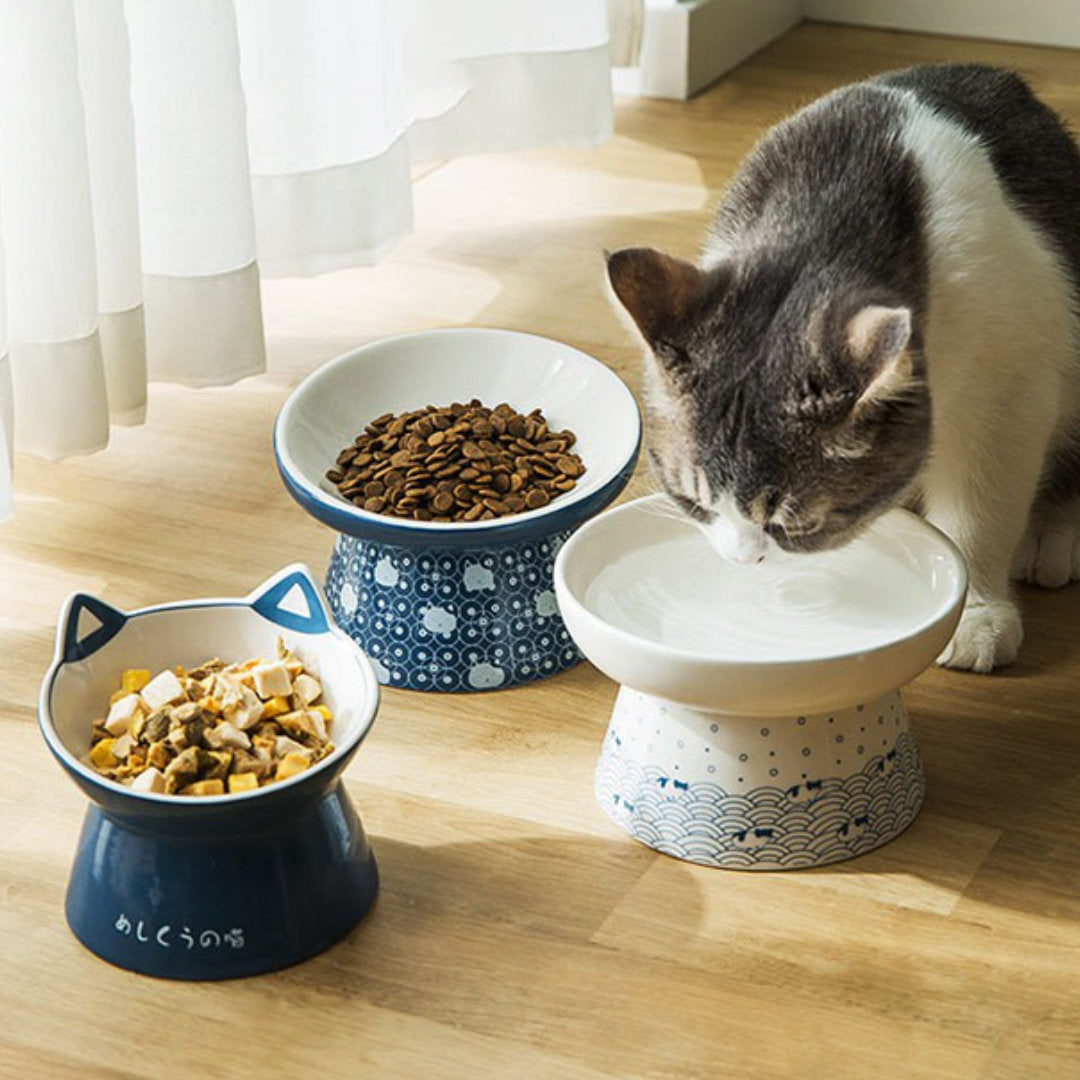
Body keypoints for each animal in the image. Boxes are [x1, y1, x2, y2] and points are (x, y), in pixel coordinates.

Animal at [609, 63, 1080, 669]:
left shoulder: (1011, 392)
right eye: (692, 502)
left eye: (791, 525)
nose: (743, 561)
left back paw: (1051, 535)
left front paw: (976, 612)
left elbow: (981, 513)